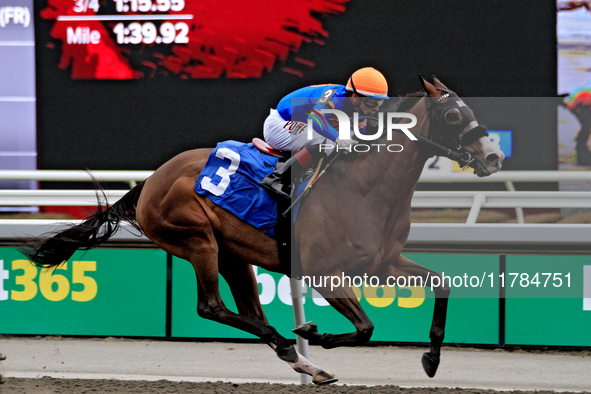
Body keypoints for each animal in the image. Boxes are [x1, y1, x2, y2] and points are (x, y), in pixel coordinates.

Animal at [22, 77, 504, 384]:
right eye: (452, 113)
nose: (493, 156)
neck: (367, 189)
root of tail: (150, 181)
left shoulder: (383, 264)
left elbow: (441, 284)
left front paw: (431, 358)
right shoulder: (322, 273)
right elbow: (366, 327)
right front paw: (315, 334)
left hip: (233, 254)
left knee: (248, 309)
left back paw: (301, 360)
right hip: (197, 240)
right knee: (211, 307)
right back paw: (291, 344)